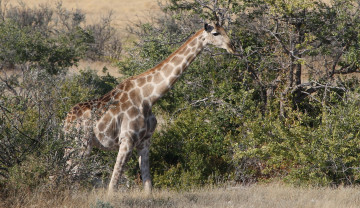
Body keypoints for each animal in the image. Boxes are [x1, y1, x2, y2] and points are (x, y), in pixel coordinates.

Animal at [63, 22, 235, 194]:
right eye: (215, 33)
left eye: (225, 30)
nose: (231, 46)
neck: (148, 97)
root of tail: (66, 120)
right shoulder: (126, 140)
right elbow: (113, 185)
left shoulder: (145, 142)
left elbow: (148, 185)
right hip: (81, 144)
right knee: (70, 174)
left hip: (78, 145)